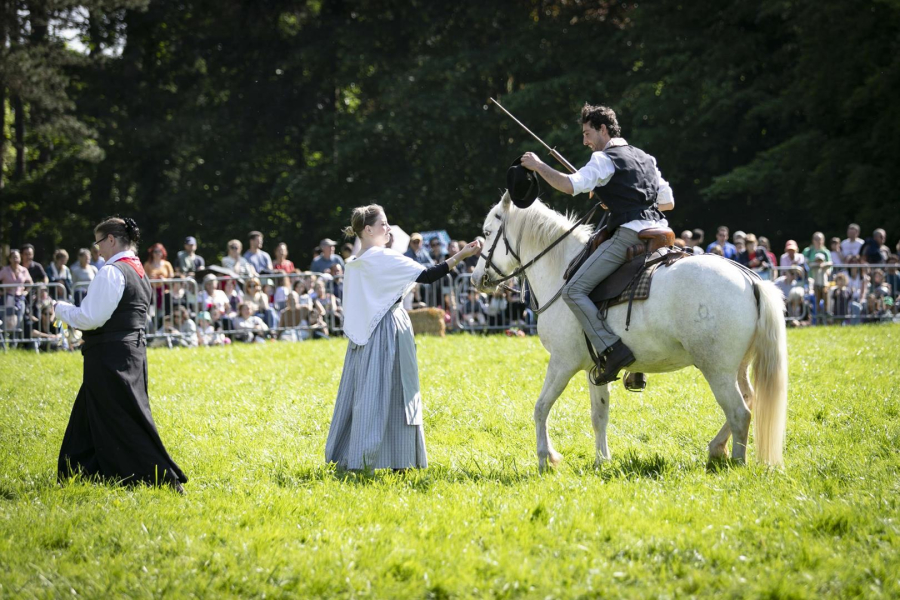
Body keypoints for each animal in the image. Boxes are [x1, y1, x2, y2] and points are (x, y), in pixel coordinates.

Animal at [472, 195, 788, 472]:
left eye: (487, 232)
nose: (477, 278)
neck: (562, 271)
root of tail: (751, 280)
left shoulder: (562, 363)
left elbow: (540, 407)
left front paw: (545, 458)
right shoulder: (595, 369)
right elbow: (599, 415)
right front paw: (601, 460)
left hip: (717, 370)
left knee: (739, 413)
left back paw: (736, 462)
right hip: (738, 367)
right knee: (748, 399)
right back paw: (716, 449)